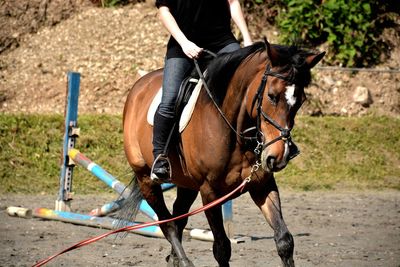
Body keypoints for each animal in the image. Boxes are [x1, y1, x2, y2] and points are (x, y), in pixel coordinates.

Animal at [122, 40, 324, 267]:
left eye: (301, 101)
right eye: (272, 96)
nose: (279, 157)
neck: (234, 129)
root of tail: (138, 87)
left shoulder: (262, 184)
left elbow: (284, 240)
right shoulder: (210, 192)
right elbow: (222, 248)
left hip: (187, 185)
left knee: (179, 216)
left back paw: (174, 259)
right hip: (146, 179)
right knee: (167, 224)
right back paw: (183, 260)